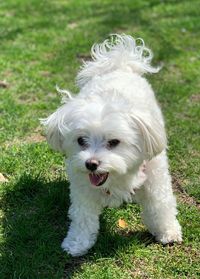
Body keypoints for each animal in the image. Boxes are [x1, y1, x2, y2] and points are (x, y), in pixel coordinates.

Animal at [41, 34, 182, 258]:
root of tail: (120, 65)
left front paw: (167, 231)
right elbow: (83, 217)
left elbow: (160, 205)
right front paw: (76, 243)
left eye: (114, 142)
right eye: (81, 140)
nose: (91, 164)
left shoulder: (155, 177)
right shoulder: (82, 189)